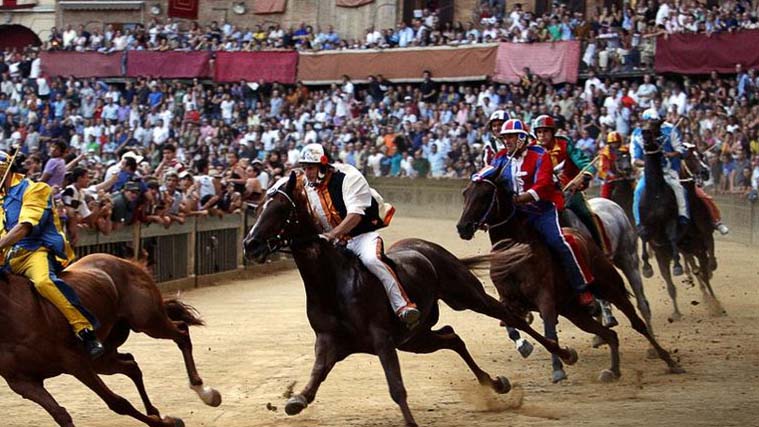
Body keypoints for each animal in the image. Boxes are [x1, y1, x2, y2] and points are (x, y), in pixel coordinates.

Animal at [0, 254, 221, 427]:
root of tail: (125, 261)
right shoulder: (22, 382)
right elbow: (60, 414)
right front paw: (163, 420)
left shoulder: (75, 362)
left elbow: (117, 403)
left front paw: (166, 423)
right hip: (103, 356)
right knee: (131, 365)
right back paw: (155, 411)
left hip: (148, 321)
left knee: (181, 332)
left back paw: (204, 391)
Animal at [242, 171, 579, 427]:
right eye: (258, 208)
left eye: (281, 210)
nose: (251, 244)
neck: (332, 283)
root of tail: (428, 247)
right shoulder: (330, 341)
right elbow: (314, 379)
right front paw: (295, 400)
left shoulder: (381, 338)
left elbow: (396, 387)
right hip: (415, 339)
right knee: (452, 337)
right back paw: (496, 383)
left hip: (468, 296)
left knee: (510, 318)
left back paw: (564, 355)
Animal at [456, 171, 684, 384]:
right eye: (465, 193)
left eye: (485, 195)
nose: (463, 227)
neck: (515, 252)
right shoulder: (509, 300)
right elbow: (511, 324)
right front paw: (525, 346)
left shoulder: (545, 299)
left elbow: (549, 332)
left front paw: (558, 368)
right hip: (574, 311)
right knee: (610, 334)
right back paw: (613, 370)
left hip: (613, 283)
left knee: (637, 320)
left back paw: (667, 360)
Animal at [638, 122, 722, 320]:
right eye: (689, 157)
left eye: (701, 155)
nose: (705, 172)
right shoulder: (652, 232)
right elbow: (645, 237)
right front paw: (647, 267)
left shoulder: (701, 234)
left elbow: (707, 257)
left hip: (694, 246)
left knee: (703, 270)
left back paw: (714, 303)